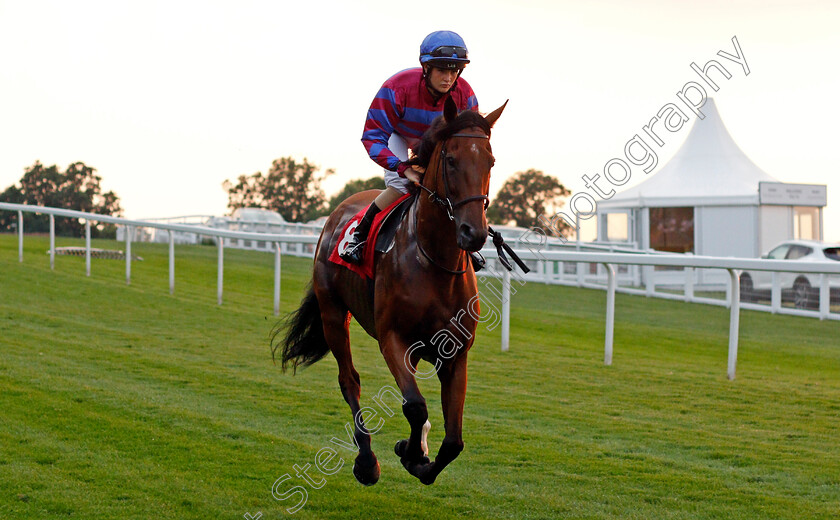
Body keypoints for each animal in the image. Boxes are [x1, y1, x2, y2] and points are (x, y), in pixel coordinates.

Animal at [278, 98, 508, 488]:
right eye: (450, 160)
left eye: (490, 161)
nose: (473, 232)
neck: (434, 263)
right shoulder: (393, 338)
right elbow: (415, 406)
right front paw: (408, 454)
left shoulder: (454, 352)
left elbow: (454, 440)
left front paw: (419, 458)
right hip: (332, 313)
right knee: (349, 381)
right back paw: (366, 461)